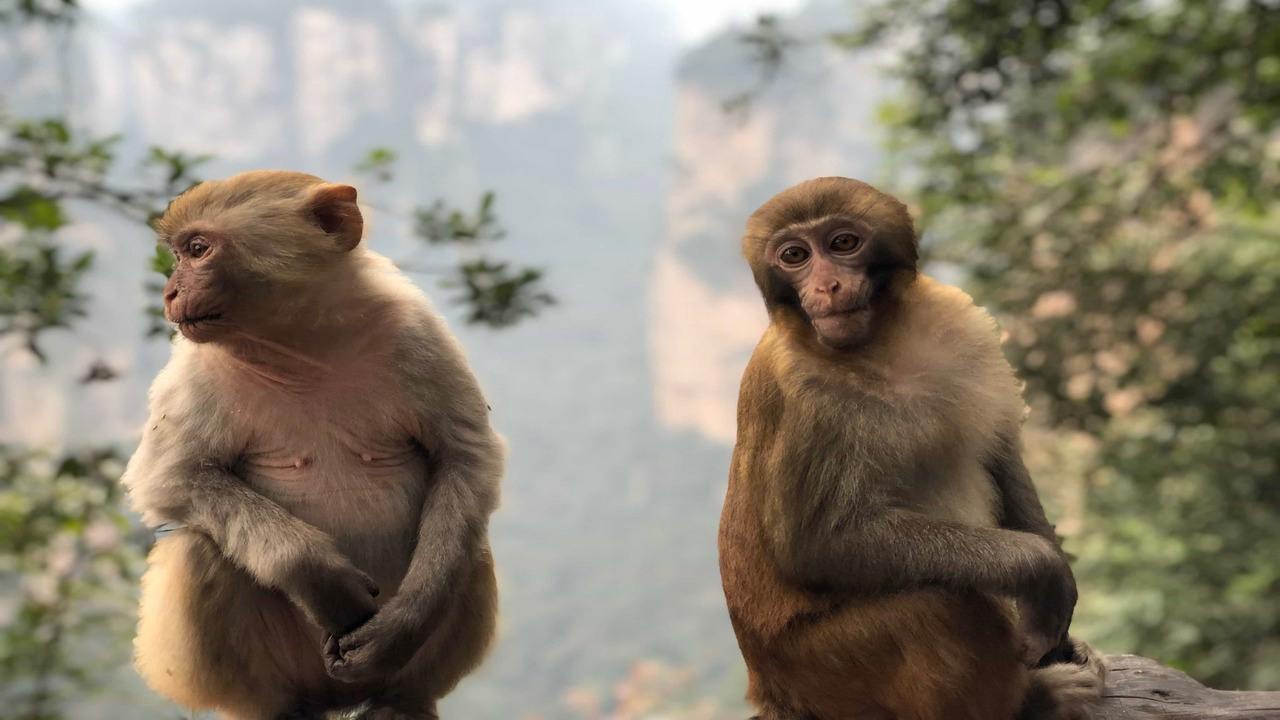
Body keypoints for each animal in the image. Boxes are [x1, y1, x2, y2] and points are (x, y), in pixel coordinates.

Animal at [122, 170, 503, 720]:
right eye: (181, 255)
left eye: (197, 250)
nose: (170, 292)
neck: (301, 344)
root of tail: (336, 699)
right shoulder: (194, 366)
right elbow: (170, 475)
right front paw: (321, 578)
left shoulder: (415, 327)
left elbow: (464, 456)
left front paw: (408, 618)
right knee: (198, 546)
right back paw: (274, 707)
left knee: (467, 546)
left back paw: (404, 699)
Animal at [718, 177, 1105, 720]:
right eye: (794, 255)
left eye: (842, 243)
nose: (826, 286)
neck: (879, 342)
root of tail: (770, 687)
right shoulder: (799, 395)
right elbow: (815, 545)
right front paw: (1040, 568)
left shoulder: (958, 322)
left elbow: (1000, 455)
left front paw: (1061, 621)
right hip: (823, 670)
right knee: (935, 603)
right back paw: (1036, 701)